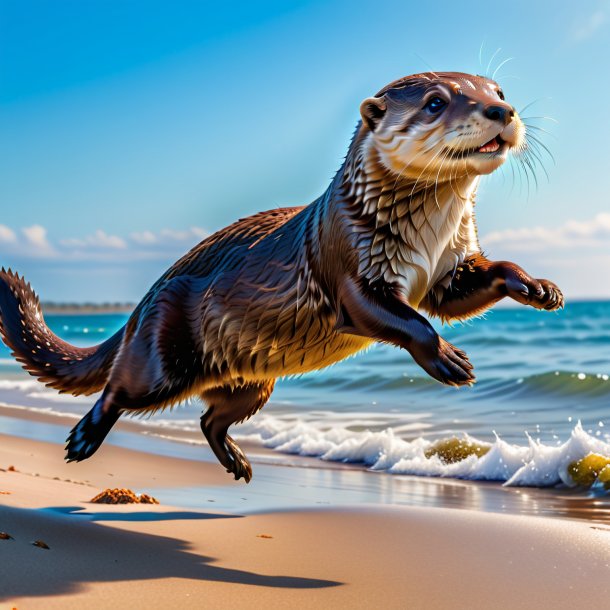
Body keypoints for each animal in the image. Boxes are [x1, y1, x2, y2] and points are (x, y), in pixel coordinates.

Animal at [0, 71, 560, 480]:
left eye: (498, 91)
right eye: (436, 103)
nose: (501, 111)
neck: (427, 239)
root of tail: (146, 297)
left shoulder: (449, 265)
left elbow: (468, 288)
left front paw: (538, 287)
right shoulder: (349, 264)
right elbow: (404, 318)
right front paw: (448, 358)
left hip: (254, 382)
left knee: (210, 417)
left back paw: (238, 463)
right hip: (164, 350)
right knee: (120, 389)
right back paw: (83, 439)